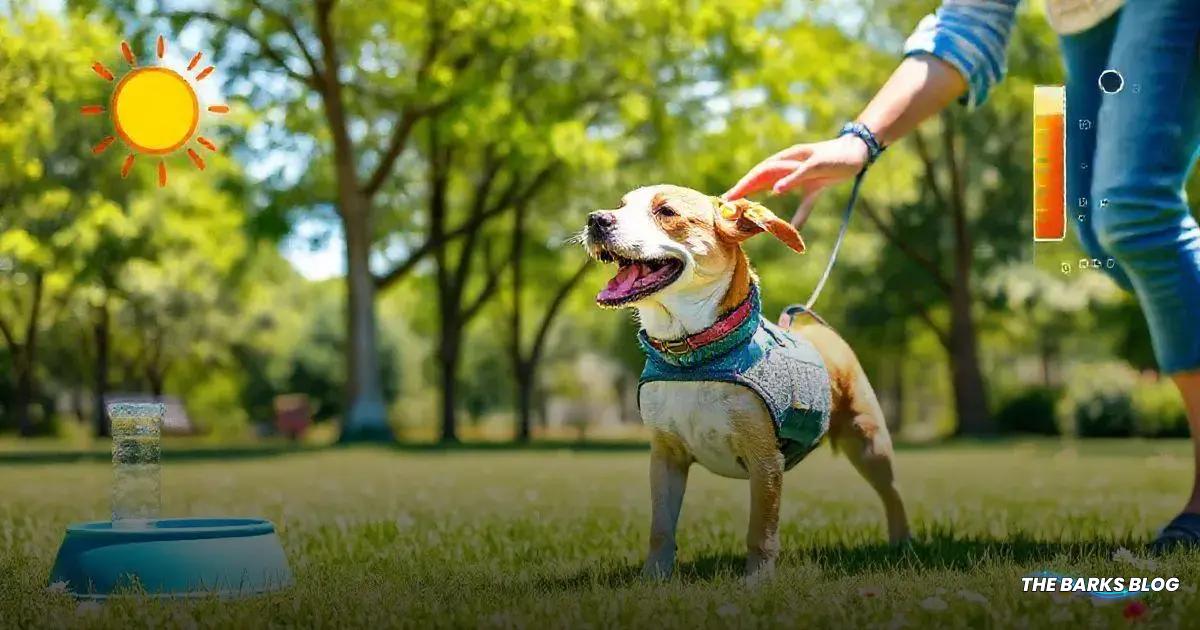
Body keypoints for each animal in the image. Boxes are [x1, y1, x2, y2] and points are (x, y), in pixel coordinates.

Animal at [580, 182, 907, 580]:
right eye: (620, 205)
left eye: (666, 212)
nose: (596, 219)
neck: (694, 360)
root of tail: (821, 330)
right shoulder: (665, 457)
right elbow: (661, 528)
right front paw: (653, 578)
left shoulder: (765, 461)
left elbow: (761, 528)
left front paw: (757, 579)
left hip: (869, 441)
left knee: (892, 493)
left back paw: (901, 543)